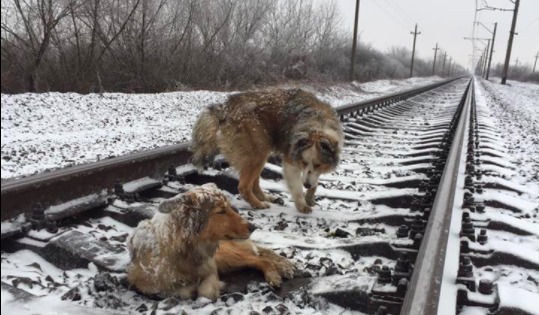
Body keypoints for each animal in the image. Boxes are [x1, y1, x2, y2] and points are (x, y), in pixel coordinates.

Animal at [127, 185, 296, 302]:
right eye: (221, 211)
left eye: (230, 208)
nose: (254, 227)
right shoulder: (145, 284)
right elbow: (178, 291)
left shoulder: (211, 267)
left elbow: (205, 291)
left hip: (226, 255)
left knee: (261, 259)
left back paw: (274, 274)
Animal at [192, 87, 344, 214]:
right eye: (303, 162)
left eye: (318, 165)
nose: (306, 184)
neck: (317, 125)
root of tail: (225, 108)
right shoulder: (290, 160)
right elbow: (297, 187)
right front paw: (302, 204)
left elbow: (314, 179)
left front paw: (310, 196)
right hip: (258, 151)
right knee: (244, 186)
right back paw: (258, 204)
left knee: (254, 184)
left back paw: (267, 198)